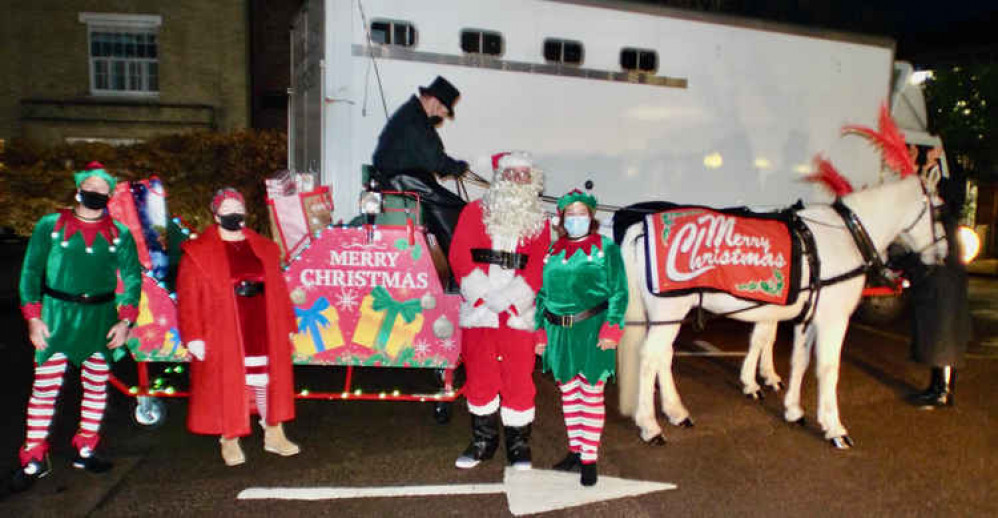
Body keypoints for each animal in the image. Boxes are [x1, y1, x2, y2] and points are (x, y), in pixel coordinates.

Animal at [616, 176, 944, 450]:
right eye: (940, 210)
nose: (941, 256)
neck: (846, 236)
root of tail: (640, 226)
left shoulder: (807, 318)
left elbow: (798, 360)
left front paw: (793, 409)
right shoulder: (833, 319)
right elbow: (828, 369)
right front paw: (834, 428)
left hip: (669, 315)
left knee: (663, 356)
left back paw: (675, 411)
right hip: (670, 310)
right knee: (650, 358)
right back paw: (650, 425)